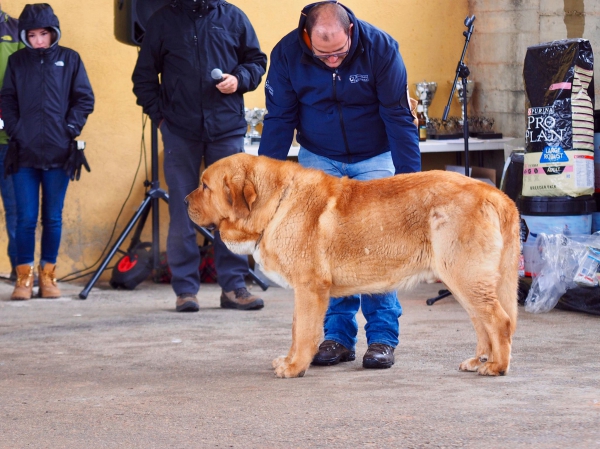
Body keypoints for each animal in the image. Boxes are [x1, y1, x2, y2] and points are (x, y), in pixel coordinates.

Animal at [188, 152, 520, 376]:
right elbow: (297, 329)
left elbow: (303, 332)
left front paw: (295, 367)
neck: (276, 203)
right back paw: (479, 361)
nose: (182, 201)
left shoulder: (309, 288)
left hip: (465, 277)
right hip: (463, 281)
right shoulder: (303, 291)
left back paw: (497, 366)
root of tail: (495, 193)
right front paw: (290, 360)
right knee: (483, 323)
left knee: (500, 321)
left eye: (204, 186)